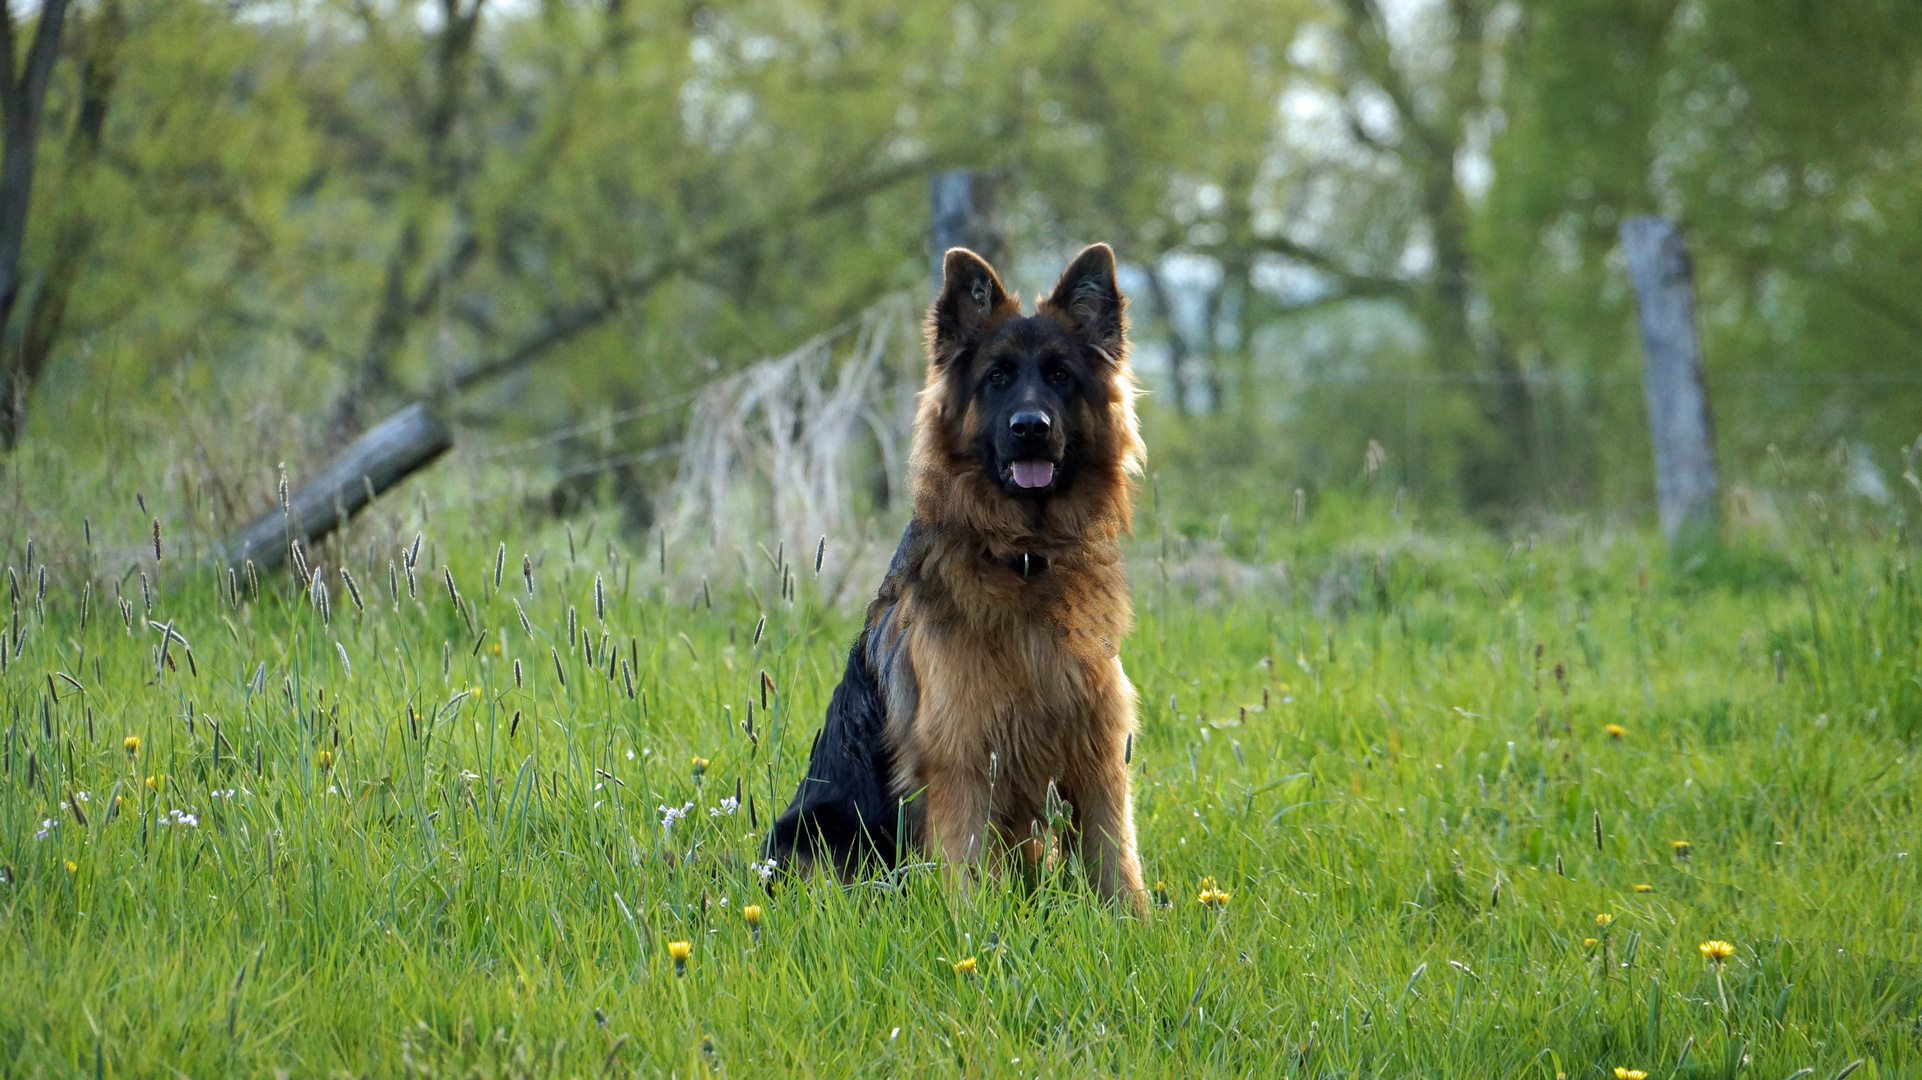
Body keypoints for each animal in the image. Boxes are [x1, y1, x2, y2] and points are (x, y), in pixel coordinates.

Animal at [764, 242, 1145, 907]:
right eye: (997, 377)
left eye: (1061, 376)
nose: (1030, 427)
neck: (1024, 560)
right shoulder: (961, 763)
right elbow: (969, 877)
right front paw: (978, 927)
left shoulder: (1097, 757)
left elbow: (1117, 866)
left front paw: (1135, 925)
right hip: (814, 836)